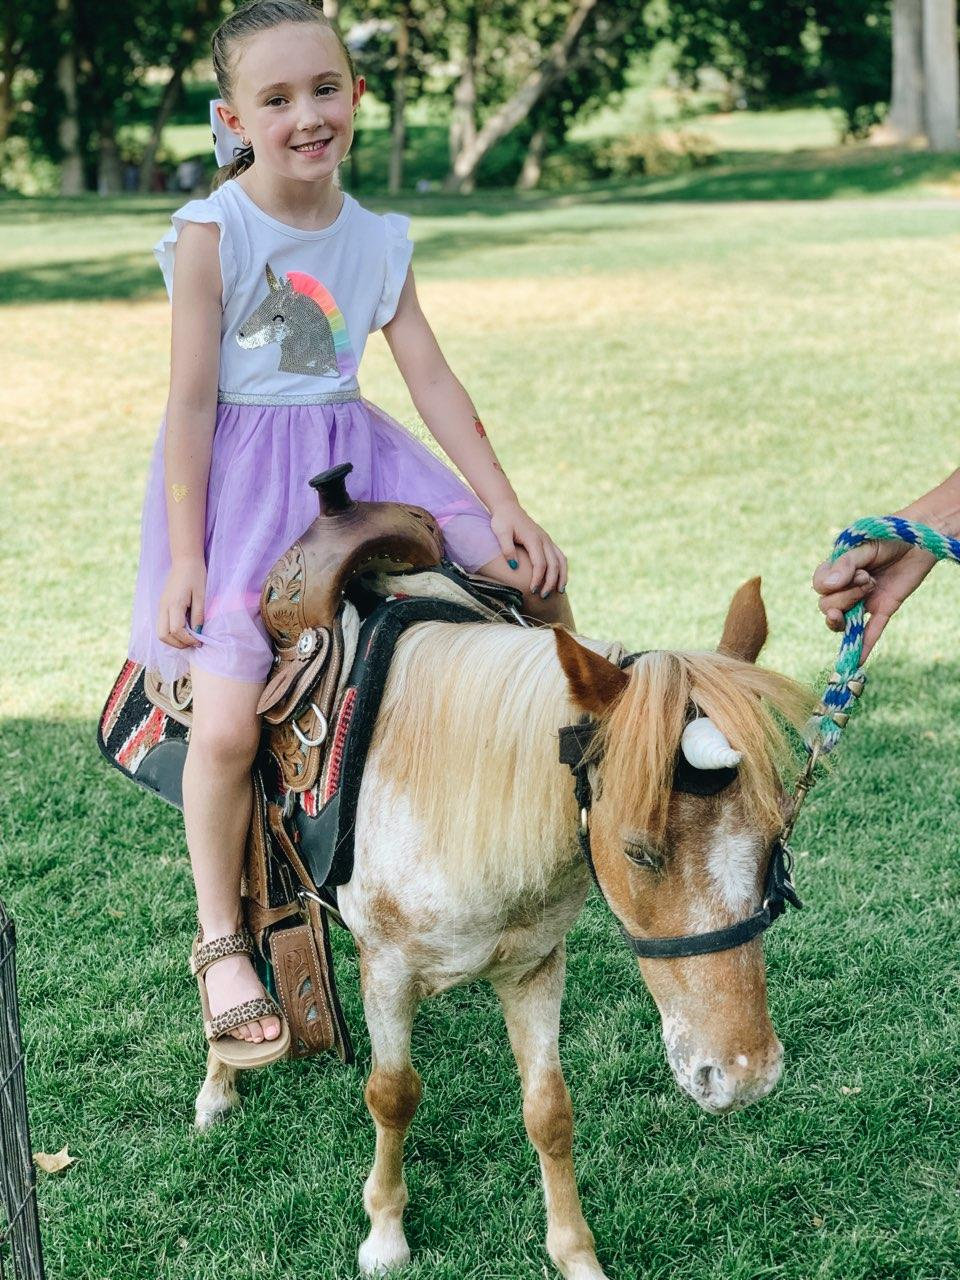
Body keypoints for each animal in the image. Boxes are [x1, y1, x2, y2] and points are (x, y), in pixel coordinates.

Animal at [194, 578, 812, 1279]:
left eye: (778, 836)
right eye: (637, 852)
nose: (744, 1075)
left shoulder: (534, 967)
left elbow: (550, 1110)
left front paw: (575, 1254)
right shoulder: (387, 967)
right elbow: (393, 1094)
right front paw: (385, 1235)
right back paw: (220, 1080)